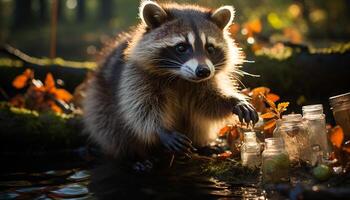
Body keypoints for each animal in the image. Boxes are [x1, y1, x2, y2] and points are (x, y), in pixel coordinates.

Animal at [83, 0, 258, 170]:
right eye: (181, 47)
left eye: (210, 48)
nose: (203, 71)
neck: (181, 78)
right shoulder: (134, 76)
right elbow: (139, 109)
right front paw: (161, 130)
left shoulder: (205, 83)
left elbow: (210, 103)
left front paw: (234, 101)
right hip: (100, 101)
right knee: (112, 129)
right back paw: (133, 156)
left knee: (199, 121)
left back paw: (201, 145)